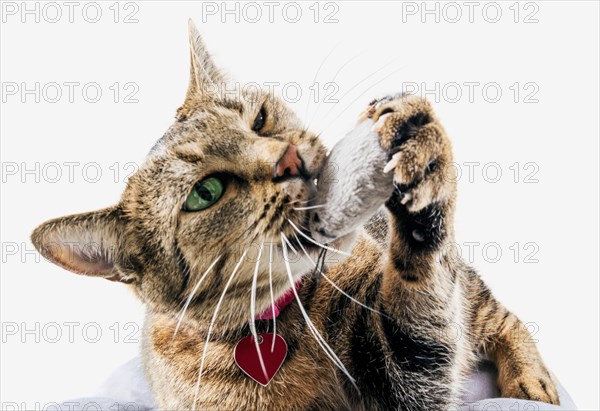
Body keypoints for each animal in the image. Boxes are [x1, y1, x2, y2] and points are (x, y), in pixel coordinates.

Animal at [31, 22, 556, 411]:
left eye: (259, 119)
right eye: (205, 192)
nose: (288, 159)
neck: (267, 331)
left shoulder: (405, 371)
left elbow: (422, 298)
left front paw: (417, 148)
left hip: (474, 298)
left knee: (498, 316)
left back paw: (532, 381)